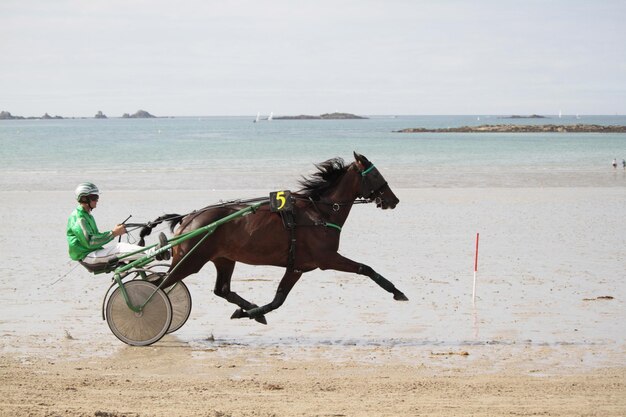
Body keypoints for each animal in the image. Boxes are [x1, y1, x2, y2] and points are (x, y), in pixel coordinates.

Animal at [142, 151, 408, 324]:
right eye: (376, 175)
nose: (394, 200)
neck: (319, 214)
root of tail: (188, 219)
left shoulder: (297, 267)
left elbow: (278, 299)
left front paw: (251, 313)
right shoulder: (326, 258)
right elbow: (366, 268)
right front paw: (397, 291)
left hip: (224, 259)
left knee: (221, 289)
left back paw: (251, 310)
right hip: (191, 260)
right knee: (160, 285)